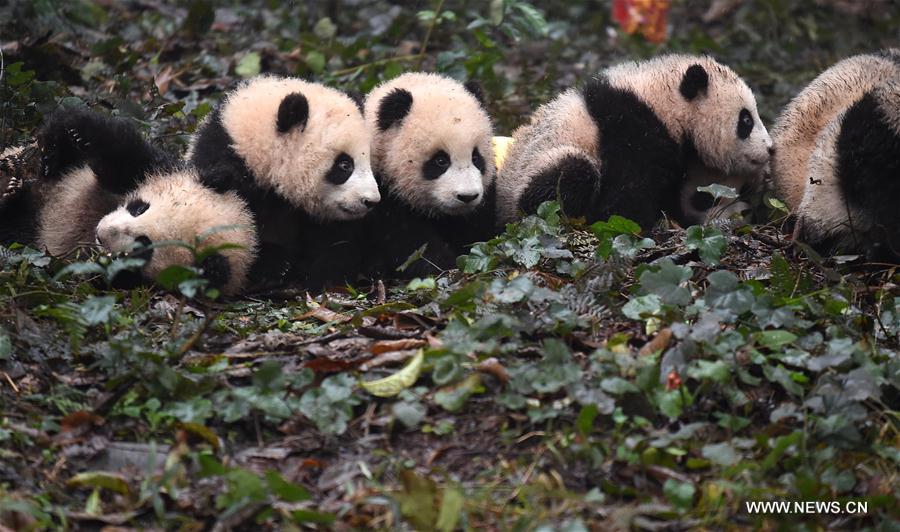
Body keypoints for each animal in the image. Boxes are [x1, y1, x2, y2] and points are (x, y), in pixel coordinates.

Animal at [187, 75, 381, 287]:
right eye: (345, 165)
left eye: (369, 161)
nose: (371, 201)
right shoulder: (225, 165)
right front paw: (276, 264)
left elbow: (336, 240)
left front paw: (328, 274)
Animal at [361, 72, 497, 278]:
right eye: (440, 161)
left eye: (476, 157)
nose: (467, 197)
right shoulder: (380, 196)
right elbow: (410, 244)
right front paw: (446, 267)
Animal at [495, 54, 773, 229]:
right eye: (746, 121)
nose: (769, 148)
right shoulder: (629, 131)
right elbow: (624, 198)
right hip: (537, 170)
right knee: (567, 178)